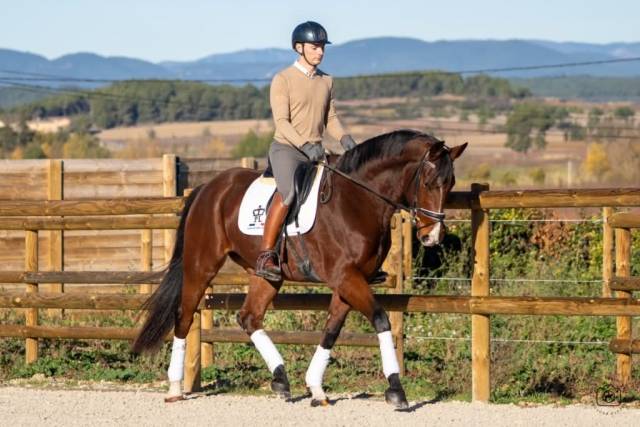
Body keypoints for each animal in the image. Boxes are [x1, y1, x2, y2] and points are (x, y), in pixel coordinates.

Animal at [133, 129, 467, 408]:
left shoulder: (349, 281)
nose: (433, 237)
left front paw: (316, 388)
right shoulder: (346, 277)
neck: (357, 200)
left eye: (450, 184)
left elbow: (331, 330)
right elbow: (381, 319)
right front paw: (396, 390)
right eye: (429, 183)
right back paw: (175, 387)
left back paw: (281, 379)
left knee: (249, 317)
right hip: (201, 266)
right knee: (185, 314)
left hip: (265, 275)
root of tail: (206, 188)